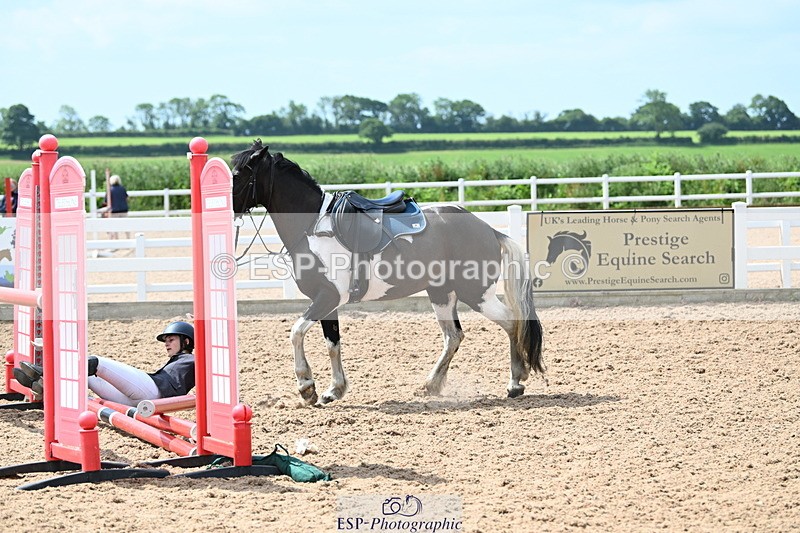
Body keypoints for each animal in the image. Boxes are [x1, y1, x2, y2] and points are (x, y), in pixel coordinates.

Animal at [230, 140, 544, 405]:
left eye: (238, 174)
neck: (314, 228)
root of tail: (488, 229)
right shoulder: (328, 302)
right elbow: (332, 343)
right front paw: (334, 390)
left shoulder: (327, 297)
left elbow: (296, 332)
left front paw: (307, 387)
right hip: (442, 294)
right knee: (454, 337)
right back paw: (432, 384)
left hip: (477, 294)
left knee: (512, 323)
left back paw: (515, 383)